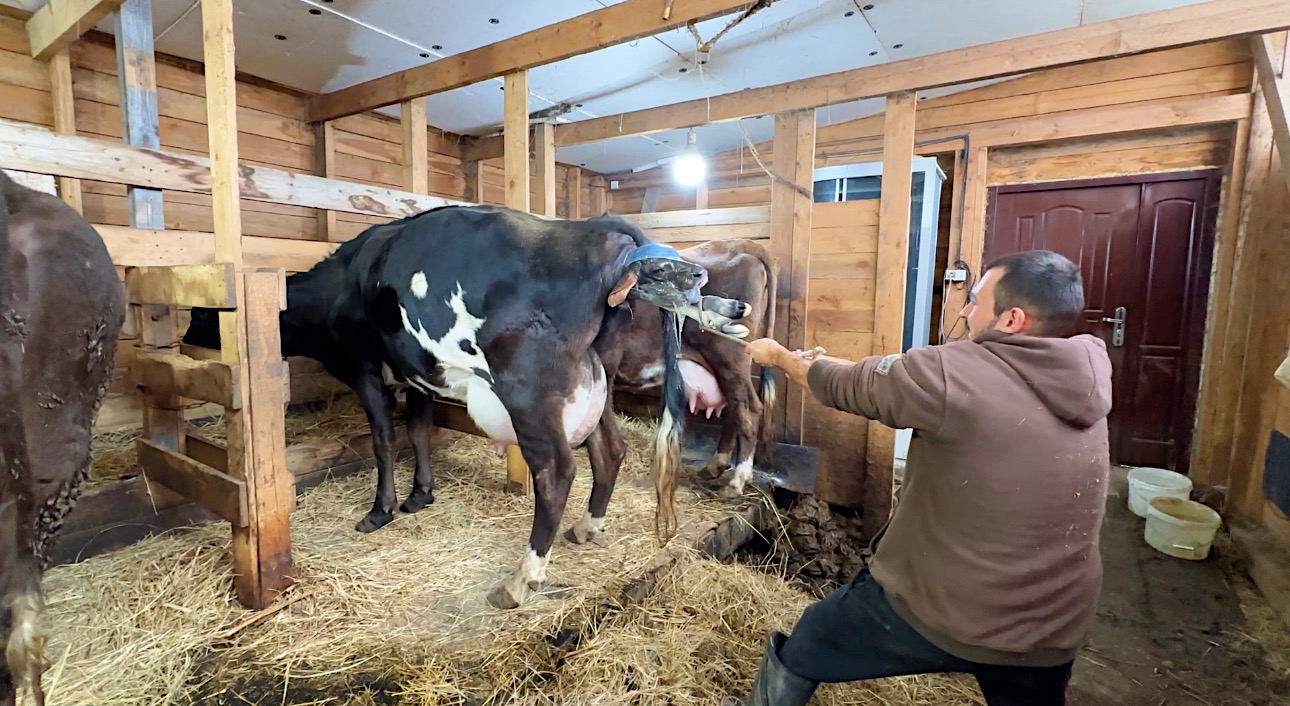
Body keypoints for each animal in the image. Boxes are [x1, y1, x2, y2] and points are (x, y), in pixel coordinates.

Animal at [180, 202, 748, 606]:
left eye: (202, 316)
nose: (183, 343)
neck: (339, 284)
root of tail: (596, 227)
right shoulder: (415, 374)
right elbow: (418, 432)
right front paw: (420, 495)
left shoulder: (366, 369)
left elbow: (385, 438)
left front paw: (381, 509)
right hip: (597, 379)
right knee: (608, 450)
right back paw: (587, 528)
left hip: (530, 391)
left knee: (557, 472)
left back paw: (521, 580)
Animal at [614, 240, 774, 500]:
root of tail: (744, 244)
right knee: (735, 408)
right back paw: (715, 466)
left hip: (729, 358)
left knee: (748, 410)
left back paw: (737, 481)